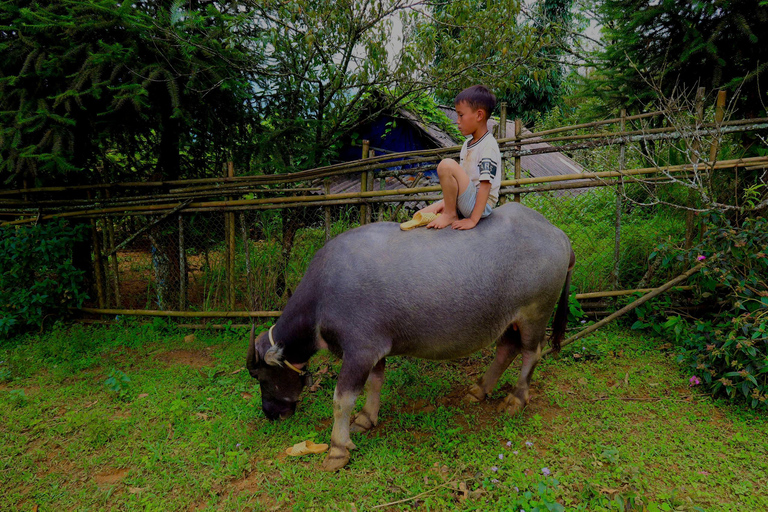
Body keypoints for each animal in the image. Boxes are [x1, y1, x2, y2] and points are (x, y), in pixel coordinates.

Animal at [248, 201, 576, 472]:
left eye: (262, 377)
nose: (270, 413)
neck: (322, 298)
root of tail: (557, 234)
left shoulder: (359, 351)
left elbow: (342, 400)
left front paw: (338, 449)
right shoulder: (375, 350)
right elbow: (375, 383)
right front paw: (366, 418)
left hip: (535, 313)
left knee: (531, 352)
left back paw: (516, 399)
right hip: (508, 320)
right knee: (506, 349)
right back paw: (480, 389)